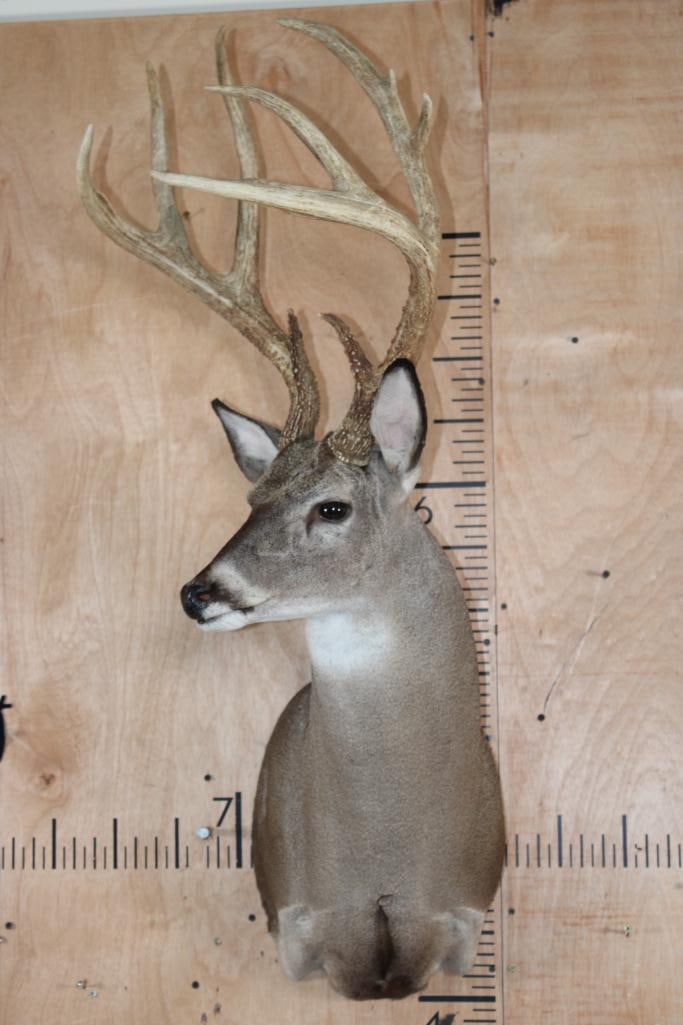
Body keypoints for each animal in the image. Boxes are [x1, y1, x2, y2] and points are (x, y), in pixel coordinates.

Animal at [77, 18, 504, 1001]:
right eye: (251, 495)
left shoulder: (462, 919)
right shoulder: (296, 929)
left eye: (332, 507)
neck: (388, 842)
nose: (198, 591)